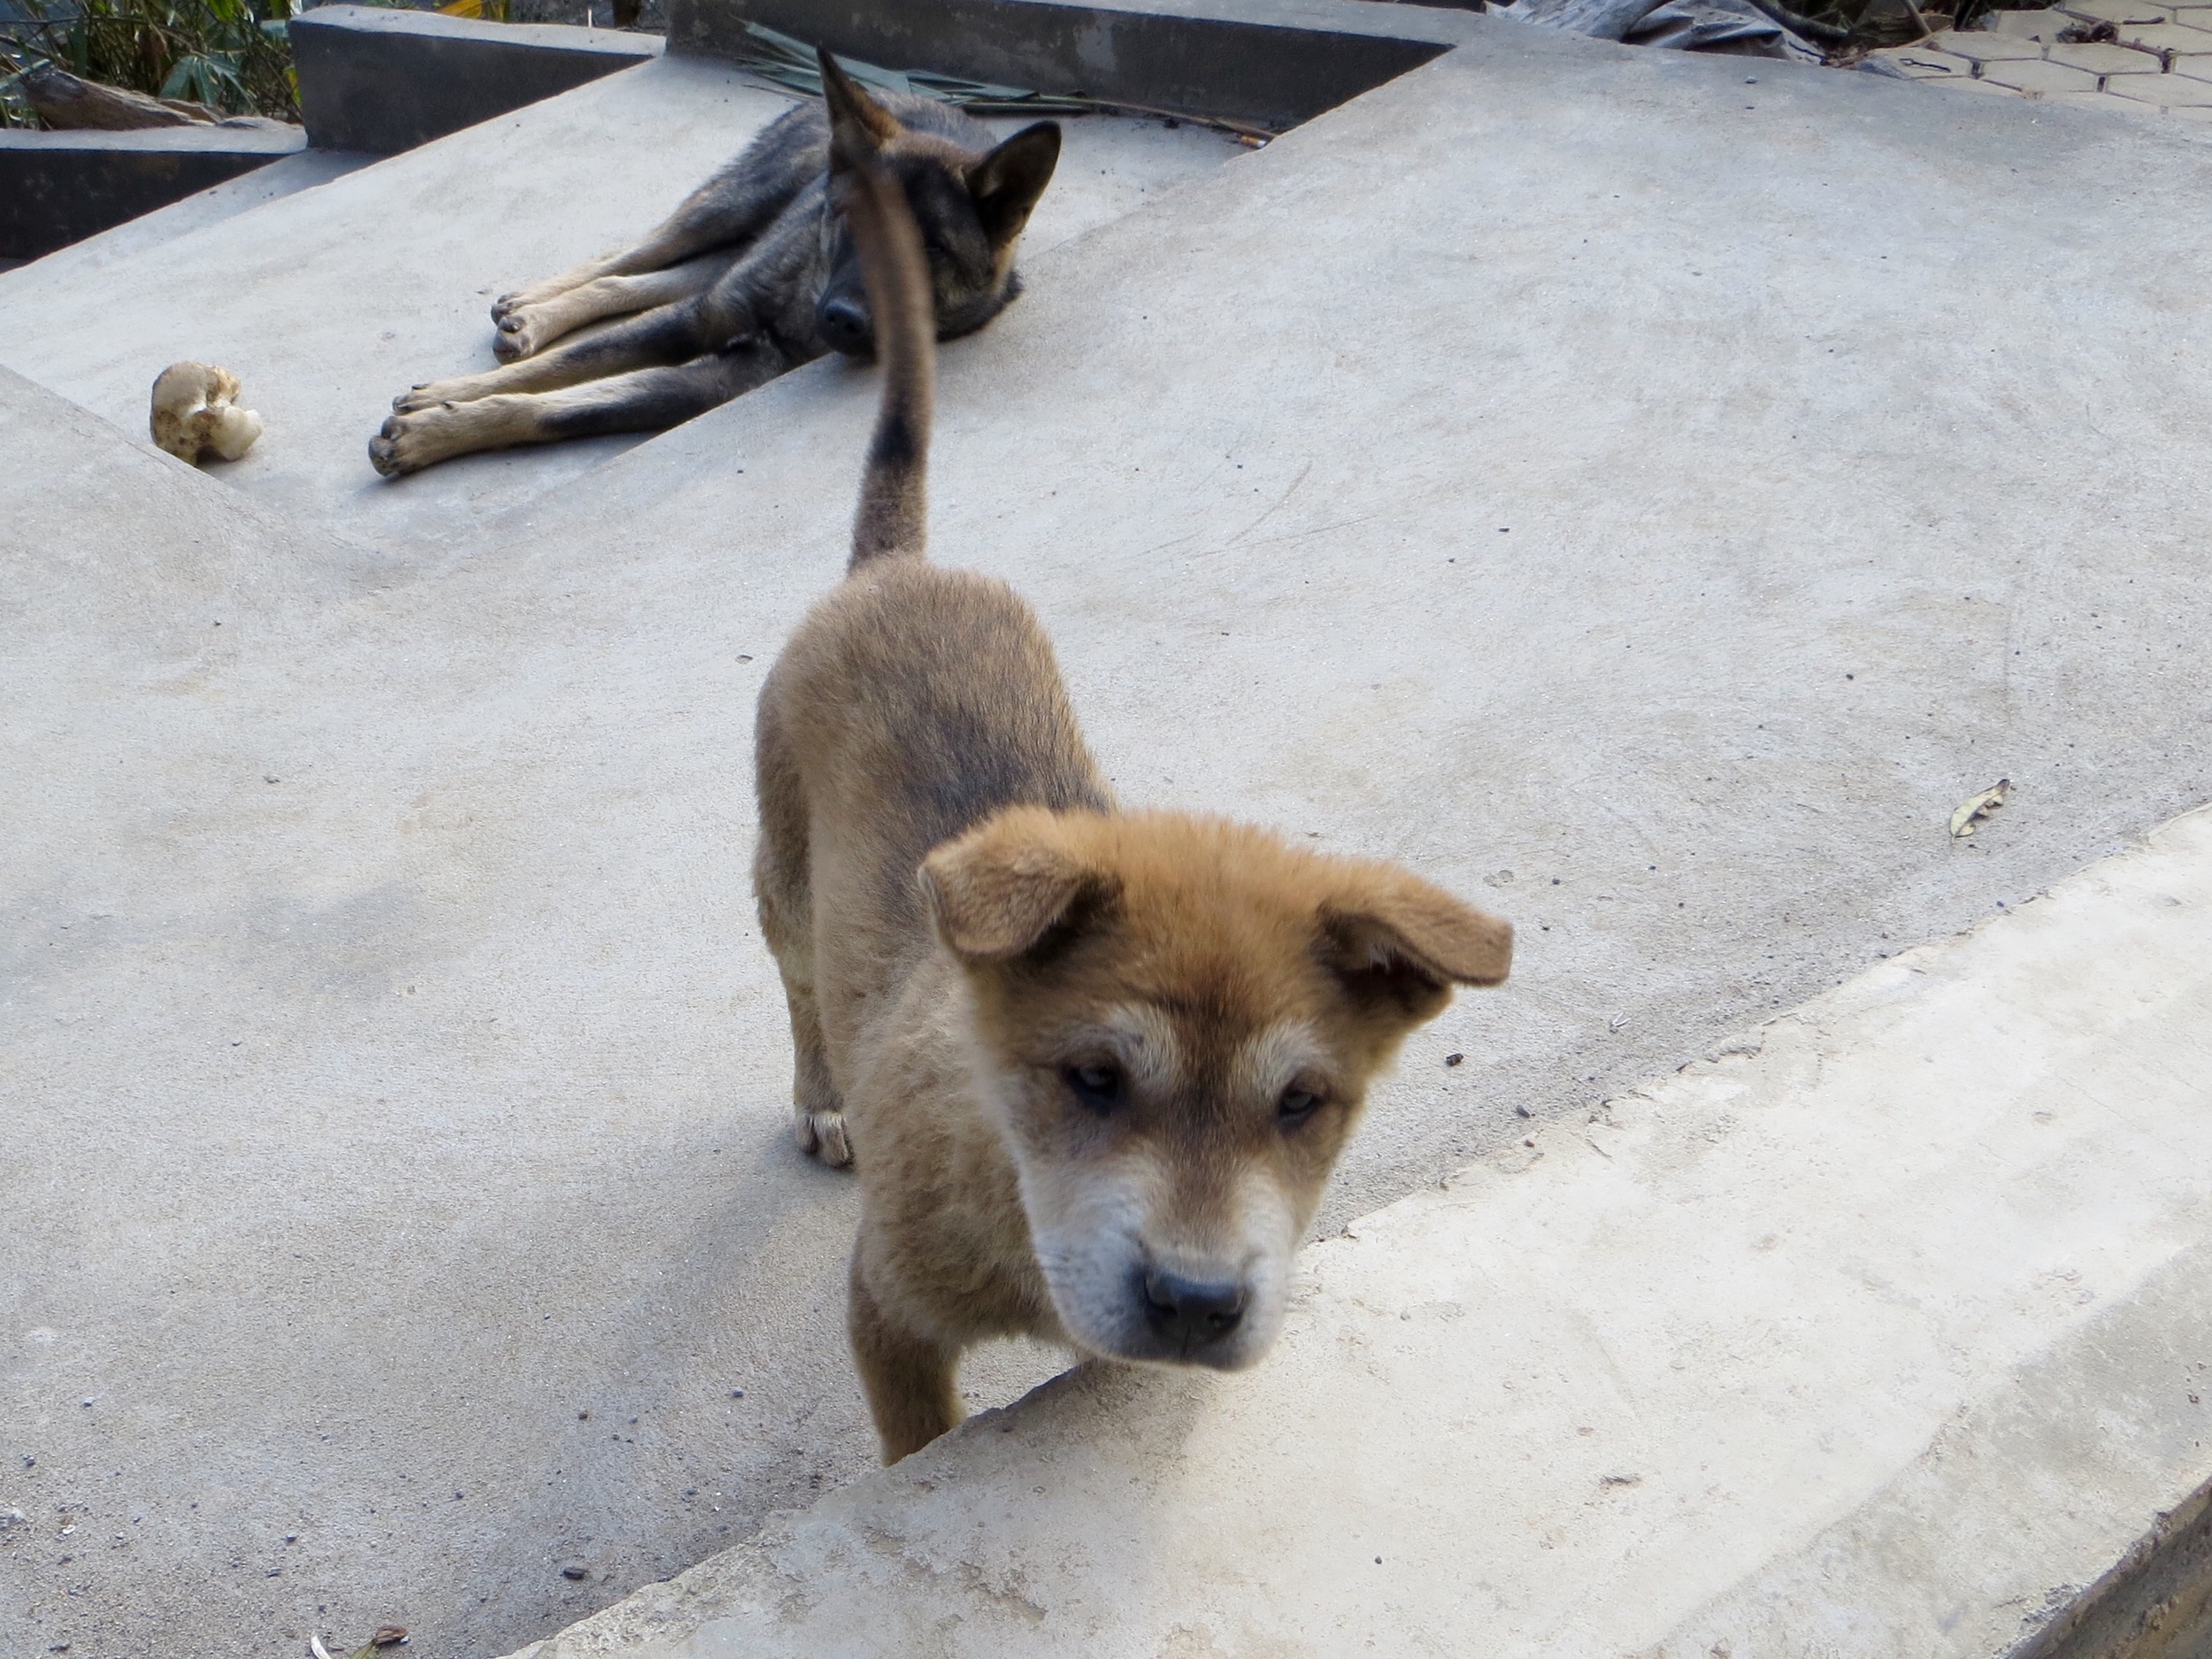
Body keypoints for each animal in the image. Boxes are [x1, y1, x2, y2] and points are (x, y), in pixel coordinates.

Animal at [752, 149, 1513, 1460]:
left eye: (1302, 1103)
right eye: (1096, 1079)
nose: (1197, 1301)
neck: (1004, 1167)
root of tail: (896, 567)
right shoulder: (887, 1313)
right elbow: (918, 1443)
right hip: (782, 876)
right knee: (800, 985)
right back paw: (819, 1095)